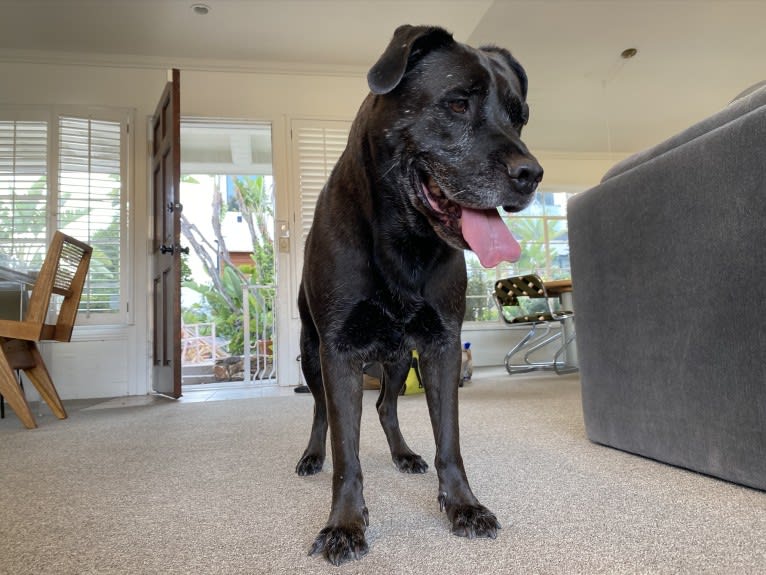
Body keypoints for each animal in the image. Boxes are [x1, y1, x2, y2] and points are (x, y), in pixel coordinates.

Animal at [296, 24, 544, 564]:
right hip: (310, 352)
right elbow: (346, 452)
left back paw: (404, 454)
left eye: (519, 117)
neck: (402, 241)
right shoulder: (338, 349)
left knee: (386, 408)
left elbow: (448, 440)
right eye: (457, 104)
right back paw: (311, 455)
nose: (532, 175)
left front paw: (464, 506)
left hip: (397, 357)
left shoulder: (440, 344)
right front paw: (344, 524)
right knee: (321, 412)